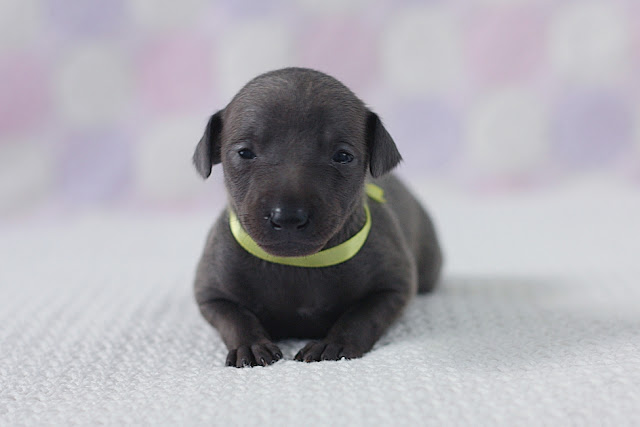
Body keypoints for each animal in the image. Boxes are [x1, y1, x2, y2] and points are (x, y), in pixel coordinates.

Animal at [192, 67, 442, 368]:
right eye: (244, 153)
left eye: (343, 156)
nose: (288, 216)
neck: (299, 262)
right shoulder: (211, 294)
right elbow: (235, 316)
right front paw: (250, 345)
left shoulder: (394, 288)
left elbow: (362, 316)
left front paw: (334, 343)